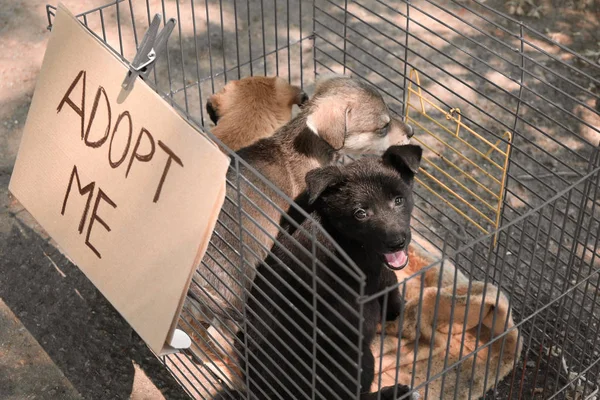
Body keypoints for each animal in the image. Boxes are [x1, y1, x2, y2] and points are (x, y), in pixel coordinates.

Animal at [216, 145, 422, 398]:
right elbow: (390, 280)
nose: (396, 242)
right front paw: (397, 309)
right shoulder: (375, 273)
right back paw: (396, 392)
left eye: (399, 200)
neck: (332, 224)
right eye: (360, 213)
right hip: (356, 357)